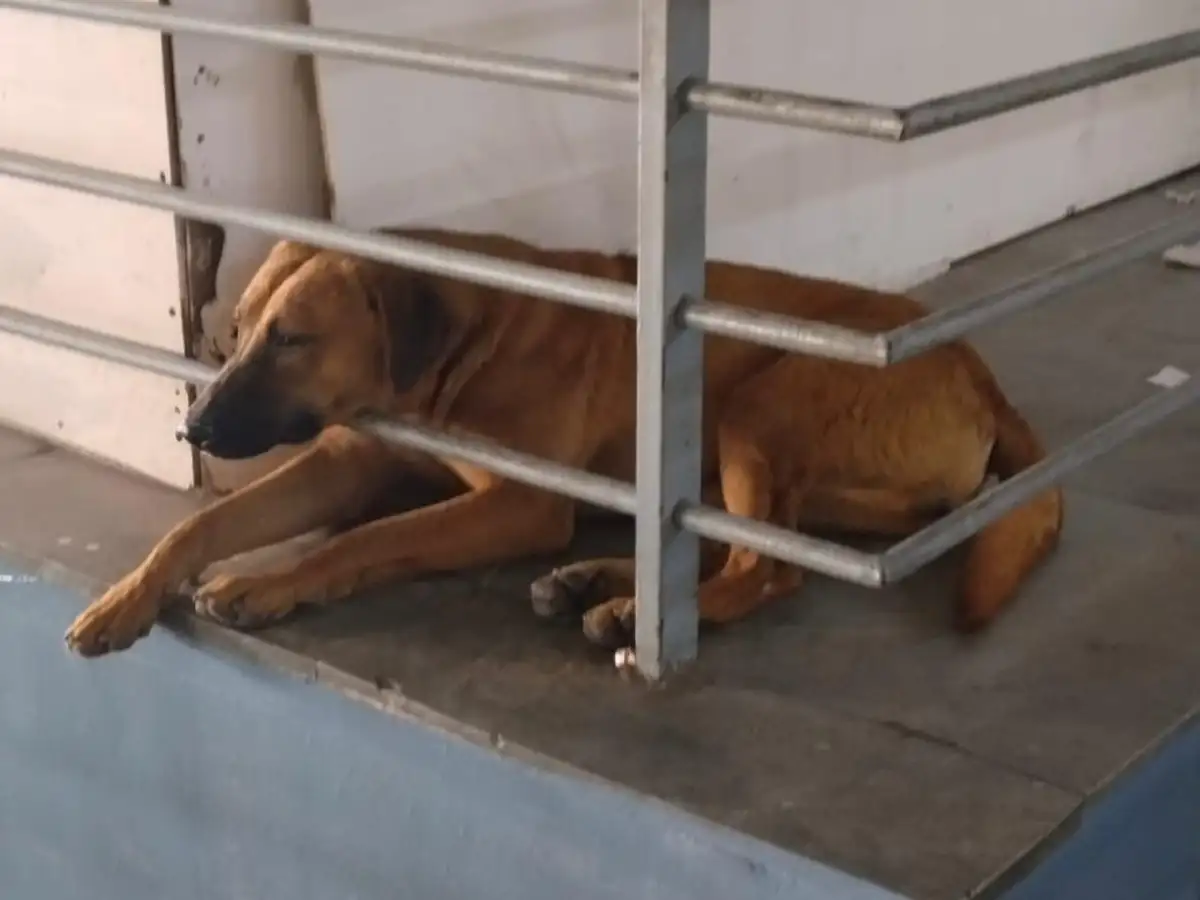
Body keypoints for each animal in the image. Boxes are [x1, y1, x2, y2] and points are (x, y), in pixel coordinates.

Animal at [64, 229, 1064, 658]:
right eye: (238, 332)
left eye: (293, 340)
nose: (192, 426)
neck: (461, 339)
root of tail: (978, 366)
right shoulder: (347, 458)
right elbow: (200, 526)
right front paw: (129, 595)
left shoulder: (520, 504)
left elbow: (373, 538)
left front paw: (270, 584)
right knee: (746, 549)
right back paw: (604, 583)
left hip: (756, 409)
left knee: (767, 570)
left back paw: (629, 608)